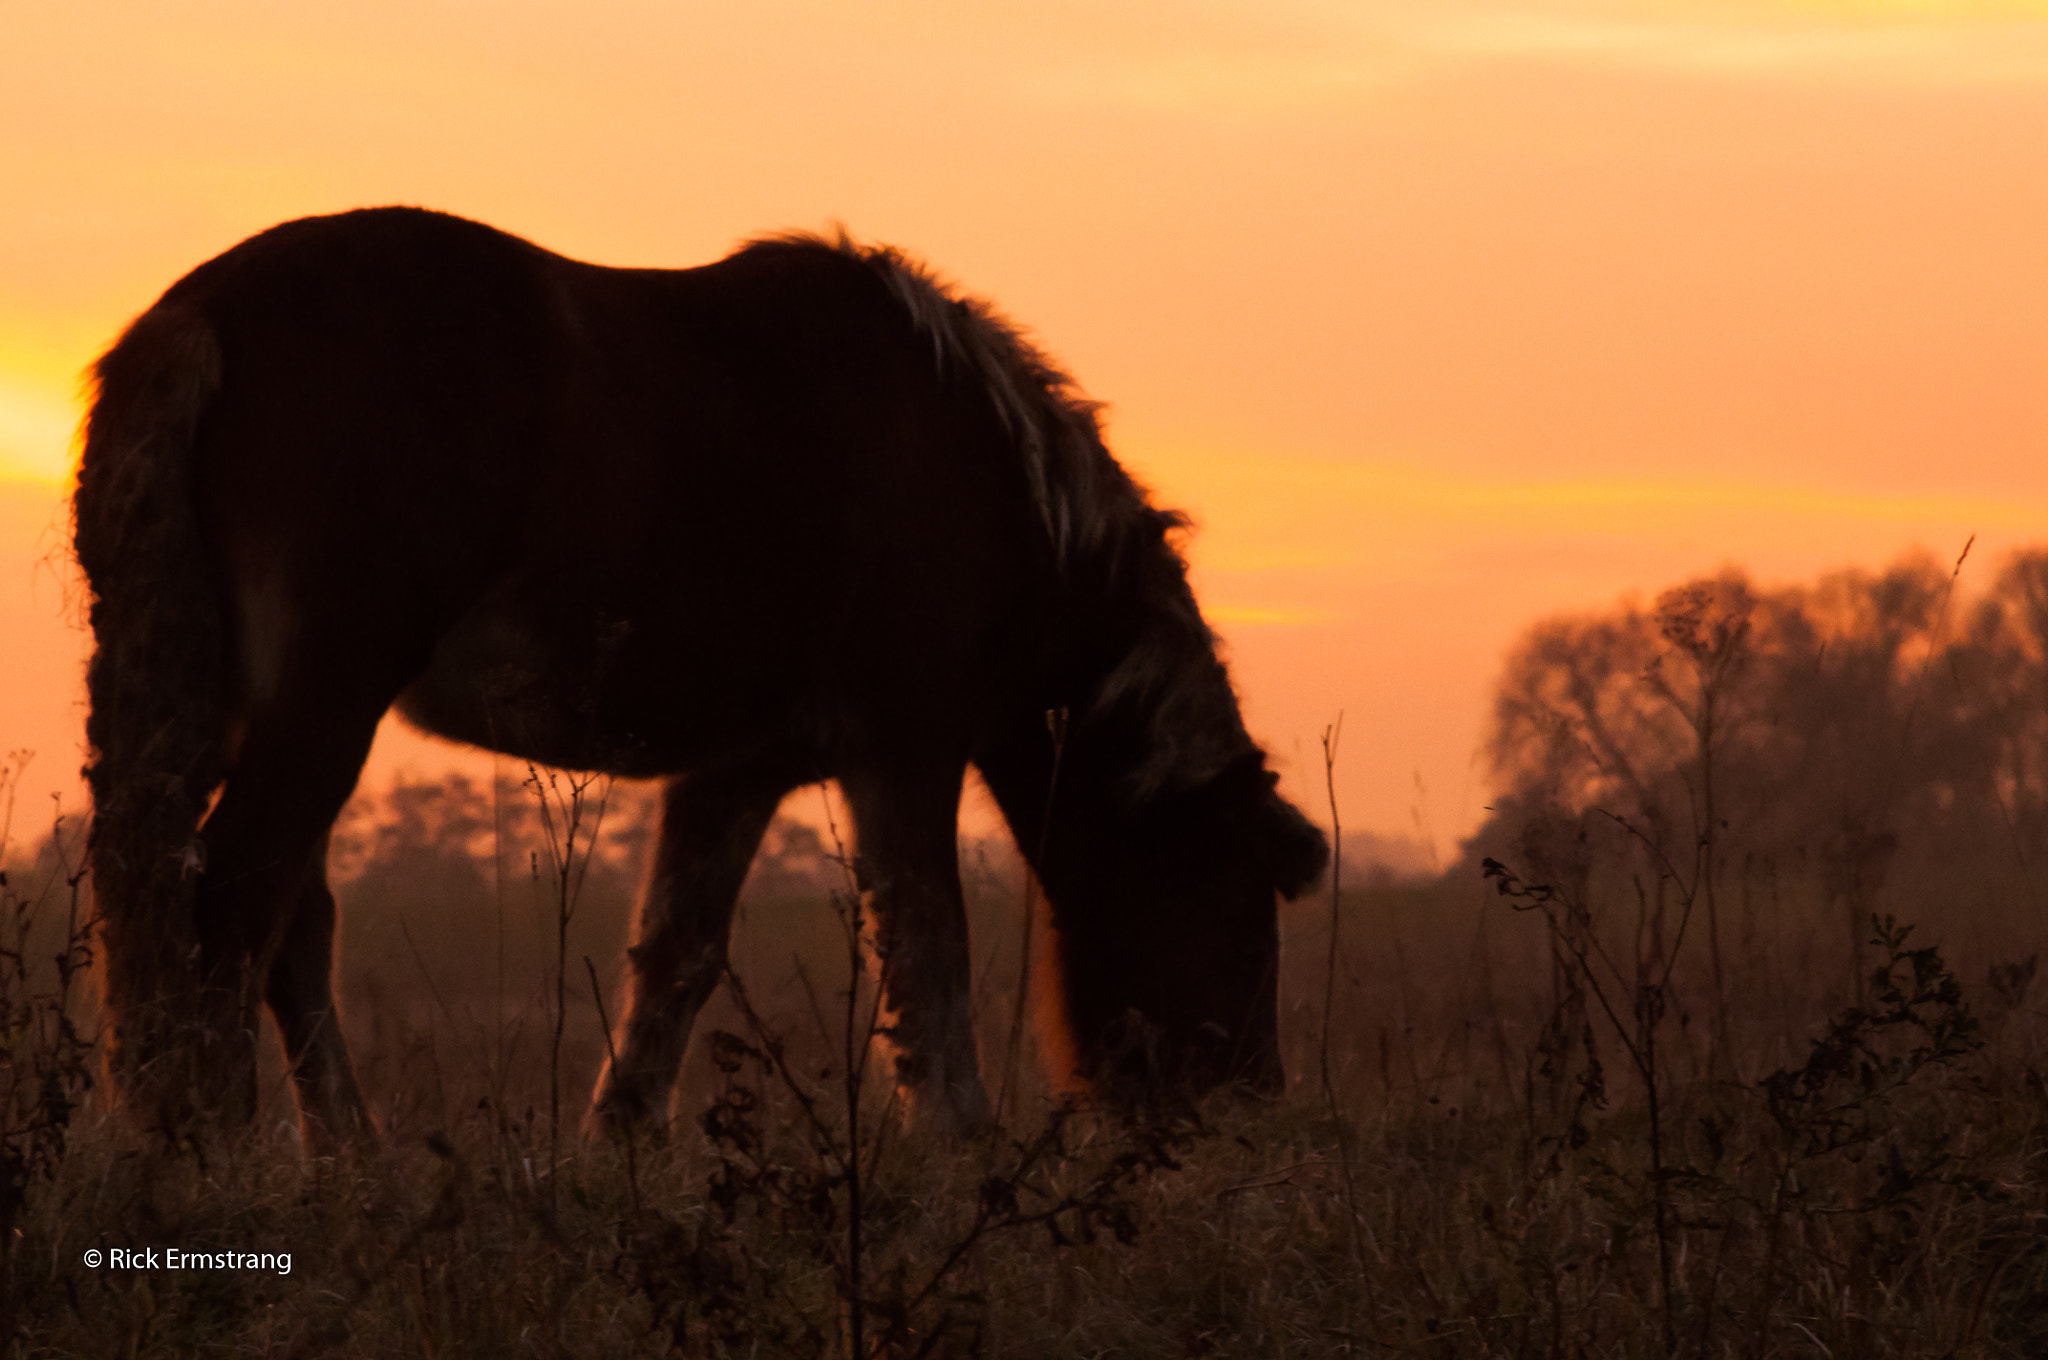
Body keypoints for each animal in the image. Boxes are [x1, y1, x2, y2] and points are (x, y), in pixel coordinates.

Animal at [72, 209, 1327, 1146]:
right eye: (1240, 907)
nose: (1249, 1112)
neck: (986, 479)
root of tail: (200, 315)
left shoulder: (739, 768)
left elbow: (677, 957)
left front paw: (615, 1147)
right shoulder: (904, 745)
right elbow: (929, 944)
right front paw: (960, 1143)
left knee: (271, 914)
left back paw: (343, 1155)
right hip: (326, 695)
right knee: (240, 900)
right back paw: (221, 1141)